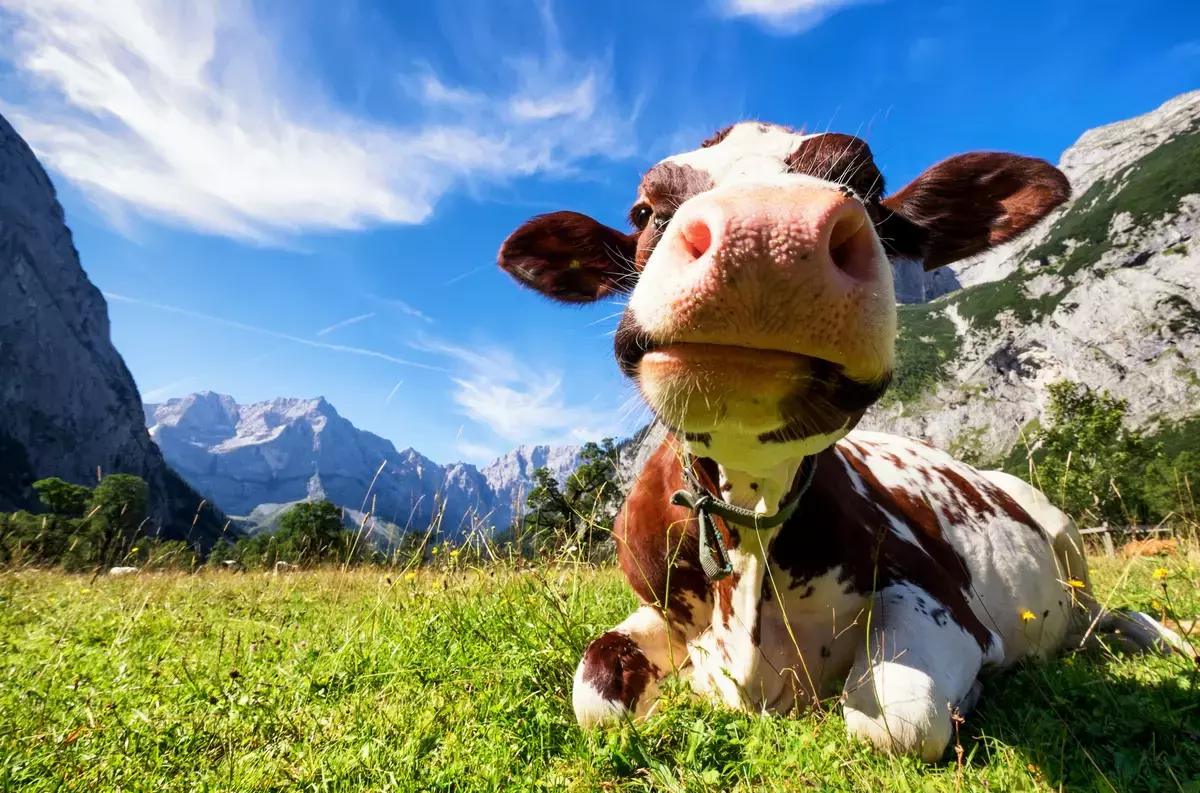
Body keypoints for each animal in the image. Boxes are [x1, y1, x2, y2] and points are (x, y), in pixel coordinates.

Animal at [494, 122, 1190, 763]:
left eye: (869, 185)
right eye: (643, 211)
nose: (767, 234)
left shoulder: (941, 598)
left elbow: (896, 720)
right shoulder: (658, 611)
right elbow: (594, 693)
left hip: (1065, 535)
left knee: (1107, 616)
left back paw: (1161, 637)